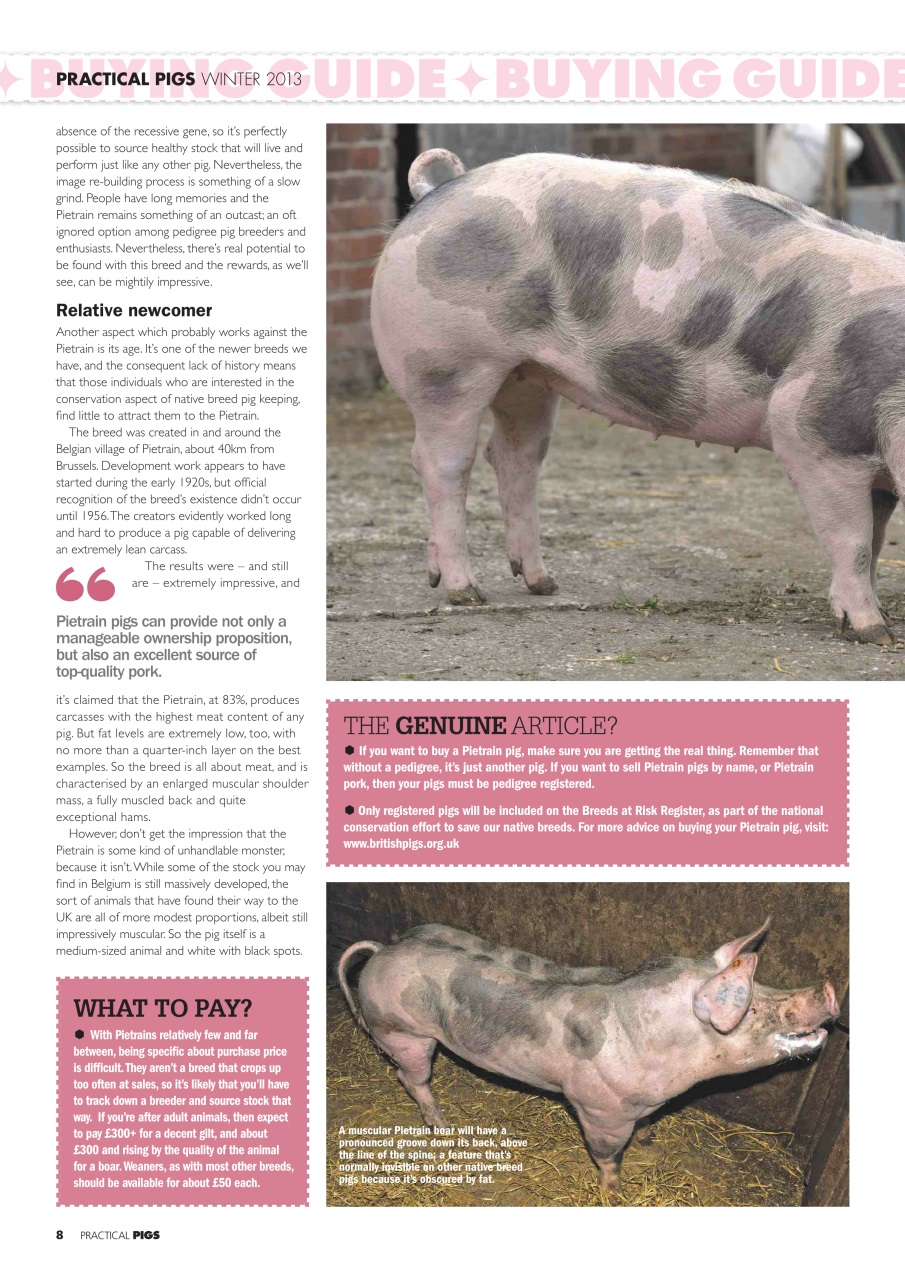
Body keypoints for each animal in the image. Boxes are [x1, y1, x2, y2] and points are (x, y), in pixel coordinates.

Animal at [337, 920, 839, 1192]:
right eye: (751, 1007)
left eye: (767, 986)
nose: (830, 990)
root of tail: (383, 949)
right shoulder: (600, 1109)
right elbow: (608, 1156)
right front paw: (614, 1192)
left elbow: (647, 1126)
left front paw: (651, 1142)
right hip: (403, 1032)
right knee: (410, 1078)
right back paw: (442, 1128)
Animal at [370, 148, 905, 644]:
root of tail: (437, 192)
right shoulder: (810, 428)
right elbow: (854, 540)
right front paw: (872, 632)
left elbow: (877, 539)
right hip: (446, 364)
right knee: (442, 464)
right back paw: (466, 592)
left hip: (525, 377)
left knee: (514, 457)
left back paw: (542, 583)